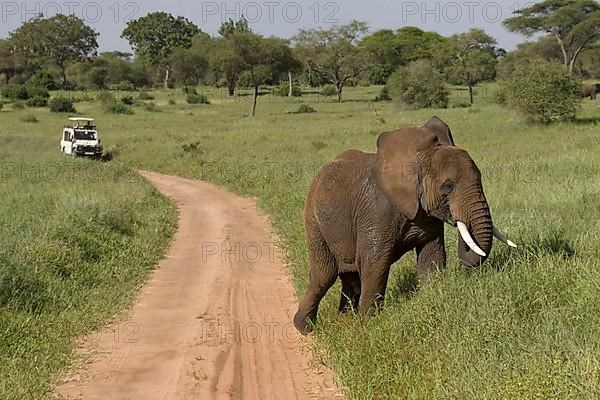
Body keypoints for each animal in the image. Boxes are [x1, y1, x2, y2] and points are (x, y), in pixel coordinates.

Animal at [294, 117, 516, 336]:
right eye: (448, 186)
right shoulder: (376, 212)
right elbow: (374, 263)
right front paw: (370, 326)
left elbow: (432, 256)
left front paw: (430, 302)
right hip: (313, 221)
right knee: (324, 275)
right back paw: (304, 328)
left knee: (350, 277)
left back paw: (343, 321)